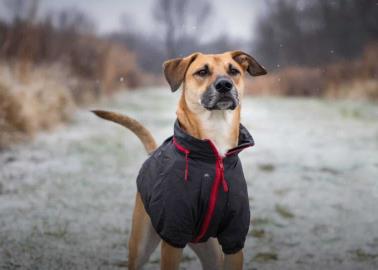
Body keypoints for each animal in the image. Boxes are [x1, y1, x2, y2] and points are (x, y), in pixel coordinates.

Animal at [93, 51, 268, 270]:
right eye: (202, 72)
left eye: (233, 71)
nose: (224, 85)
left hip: (211, 253)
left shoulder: (234, 240)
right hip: (141, 244)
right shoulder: (173, 235)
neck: (214, 155)